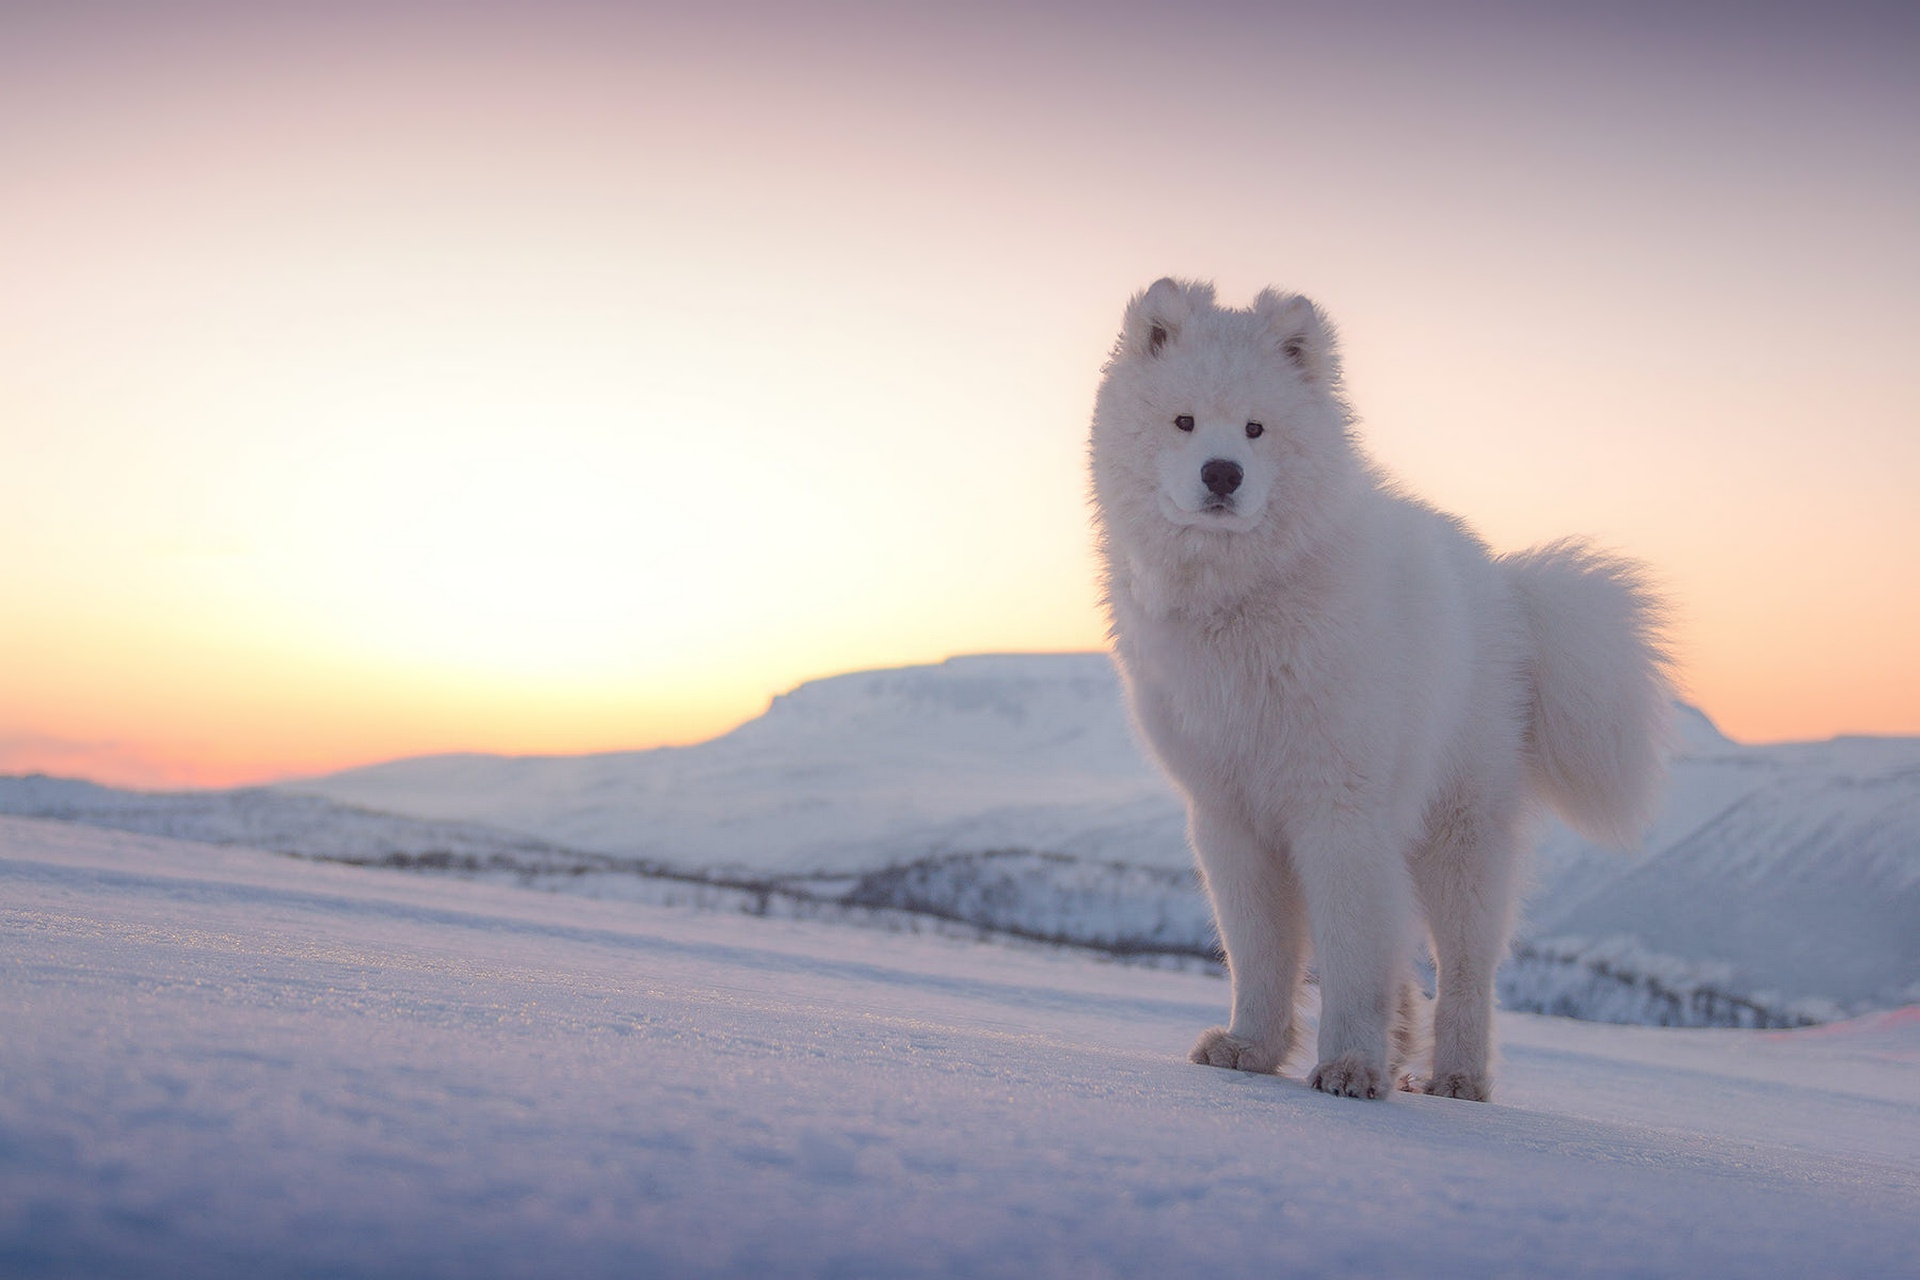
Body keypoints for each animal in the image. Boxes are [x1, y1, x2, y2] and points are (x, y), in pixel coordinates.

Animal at [1090, 280, 1674, 1105]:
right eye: (1184, 421)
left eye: (1256, 428)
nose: (1222, 473)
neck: (1244, 604)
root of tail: (1507, 588)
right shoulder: (1230, 817)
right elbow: (1262, 955)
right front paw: (1252, 1048)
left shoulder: (1340, 811)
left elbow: (1349, 958)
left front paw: (1348, 1065)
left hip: (1459, 839)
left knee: (1465, 973)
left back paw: (1455, 1076)